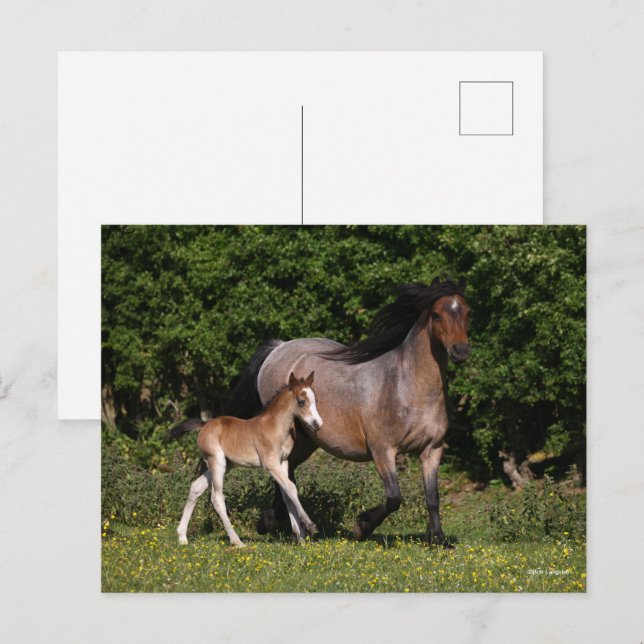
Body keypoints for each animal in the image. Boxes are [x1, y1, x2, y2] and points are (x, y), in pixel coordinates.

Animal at [171, 371, 323, 547]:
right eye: (301, 401)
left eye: (316, 399)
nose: (317, 424)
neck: (276, 426)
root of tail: (204, 426)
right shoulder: (270, 463)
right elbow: (291, 488)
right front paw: (311, 527)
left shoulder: (283, 462)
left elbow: (287, 493)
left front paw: (300, 537)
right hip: (217, 462)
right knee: (216, 497)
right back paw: (237, 541)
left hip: (224, 464)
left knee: (196, 488)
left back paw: (182, 537)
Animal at [226, 278, 470, 546]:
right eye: (437, 315)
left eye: (468, 312)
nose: (460, 351)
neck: (407, 387)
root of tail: (278, 348)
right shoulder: (383, 450)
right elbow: (394, 498)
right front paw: (362, 526)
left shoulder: (432, 449)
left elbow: (433, 497)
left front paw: (438, 539)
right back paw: (275, 524)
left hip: (305, 440)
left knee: (287, 473)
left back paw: (271, 522)